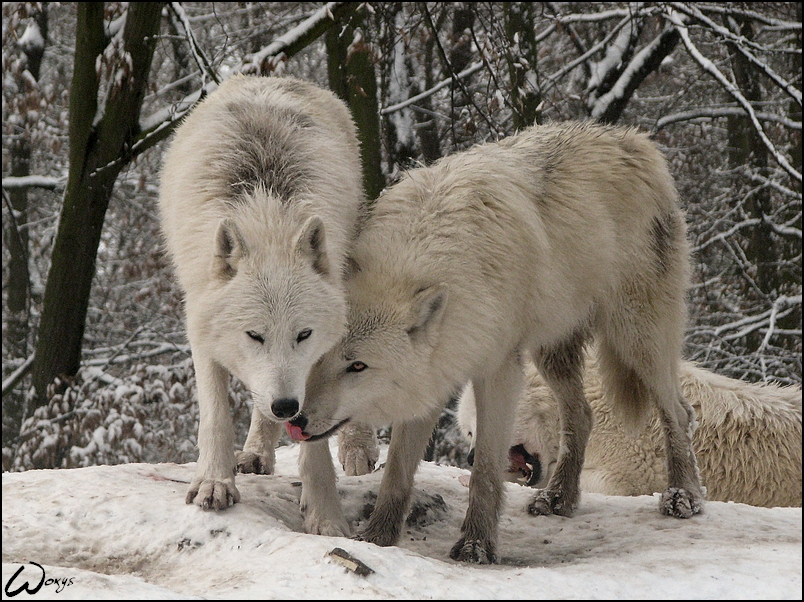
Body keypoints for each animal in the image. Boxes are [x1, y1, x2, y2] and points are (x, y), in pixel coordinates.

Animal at [159, 72, 362, 528]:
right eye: (254, 335)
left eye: (304, 335)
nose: (286, 406)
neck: (267, 217)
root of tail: (270, 76)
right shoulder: (201, 327)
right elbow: (216, 416)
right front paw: (215, 483)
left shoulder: (316, 359)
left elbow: (315, 436)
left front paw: (325, 515)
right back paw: (255, 452)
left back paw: (356, 448)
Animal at [288, 120, 704, 564]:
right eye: (314, 355)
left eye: (357, 366)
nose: (296, 419)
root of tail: (633, 139)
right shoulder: (436, 373)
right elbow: (398, 470)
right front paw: (377, 536)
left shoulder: (499, 370)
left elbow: (485, 472)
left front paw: (476, 545)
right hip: (552, 351)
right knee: (582, 416)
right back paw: (559, 497)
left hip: (638, 339)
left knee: (678, 411)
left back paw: (683, 496)